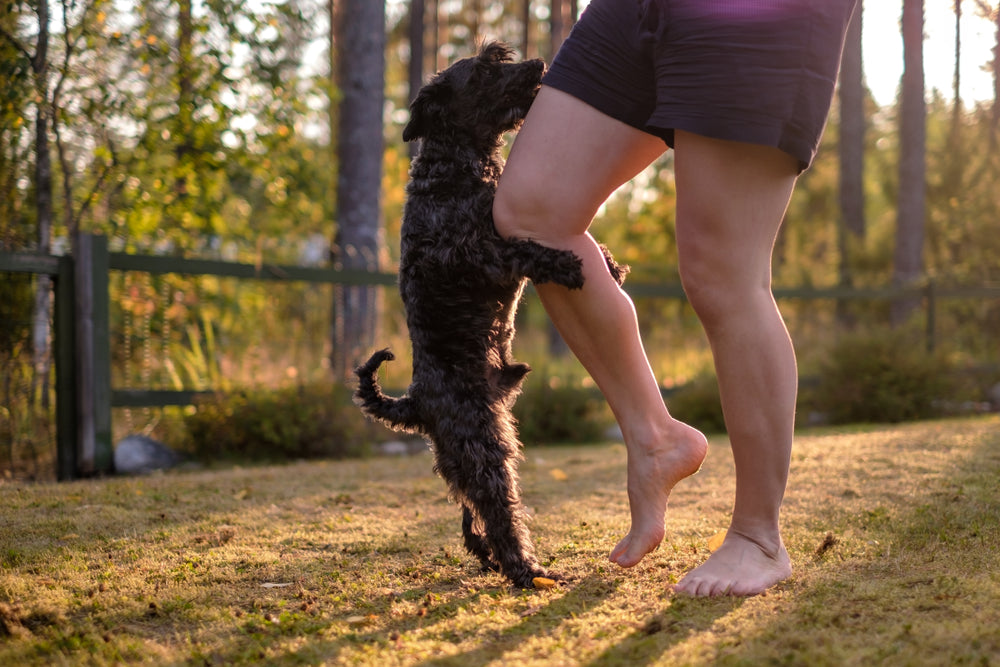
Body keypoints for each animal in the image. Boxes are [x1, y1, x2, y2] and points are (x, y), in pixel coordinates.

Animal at [356, 41, 628, 588]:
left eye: (500, 55)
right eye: (484, 70)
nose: (538, 65)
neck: (454, 168)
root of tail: (414, 402)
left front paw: (608, 263)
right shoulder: (476, 254)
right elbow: (525, 248)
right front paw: (568, 264)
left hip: (463, 457)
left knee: (470, 513)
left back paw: (487, 556)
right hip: (483, 448)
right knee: (499, 511)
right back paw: (526, 570)